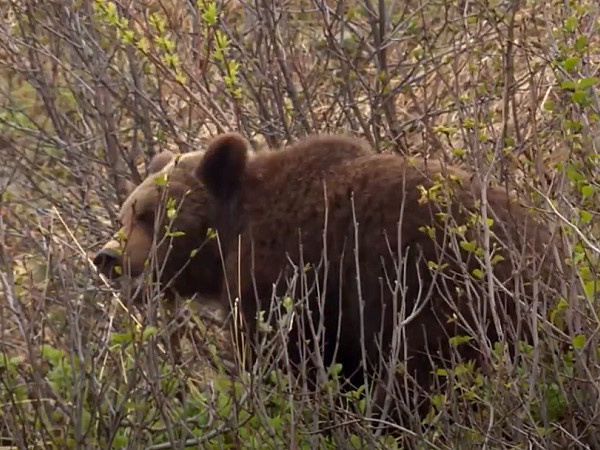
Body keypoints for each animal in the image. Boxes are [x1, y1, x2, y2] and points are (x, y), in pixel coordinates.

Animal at [95, 131, 564, 428]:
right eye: (125, 212)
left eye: (150, 215)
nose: (108, 256)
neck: (229, 234)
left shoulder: (288, 276)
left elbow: (287, 359)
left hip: (444, 297)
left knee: (421, 377)